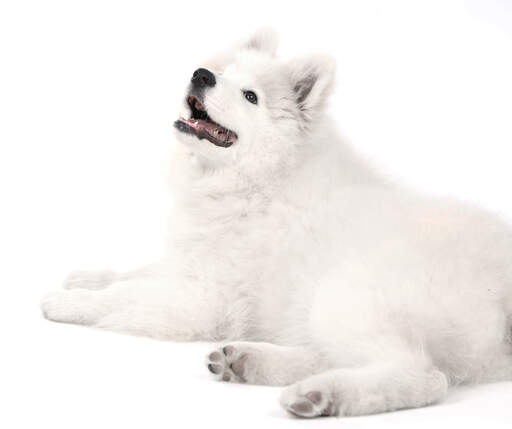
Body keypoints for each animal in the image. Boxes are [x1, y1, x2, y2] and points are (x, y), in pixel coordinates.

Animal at [41, 28, 512, 416]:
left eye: (250, 97)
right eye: (221, 71)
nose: (201, 75)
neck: (259, 179)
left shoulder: (202, 298)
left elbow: (123, 296)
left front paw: (67, 302)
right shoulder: (191, 259)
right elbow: (138, 271)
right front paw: (87, 278)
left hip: (346, 293)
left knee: (422, 373)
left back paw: (320, 395)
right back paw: (251, 362)